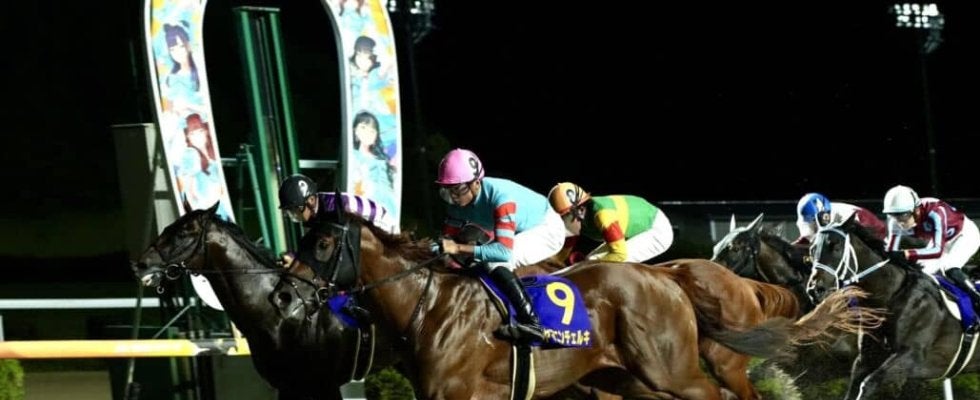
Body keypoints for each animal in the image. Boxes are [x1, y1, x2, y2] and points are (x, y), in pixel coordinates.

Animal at [132, 204, 401, 400]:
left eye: (183, 233)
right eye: (167, 227)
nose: (140, 265)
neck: (277, 314)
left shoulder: (322, 383)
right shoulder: (287, 384)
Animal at [284, 210, 882, 399]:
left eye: (323, 241)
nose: (287, 290)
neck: (428, 305)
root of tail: (666, 278)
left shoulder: (452, 392)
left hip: (673, 371)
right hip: (621, 377)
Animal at [806, 213, 980, 399]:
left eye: (836, 246)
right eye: (812, 249)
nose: (815, 289)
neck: (891, 296)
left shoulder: (911, 357)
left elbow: (868, 384)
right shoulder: (867, 357)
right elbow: (854, 387)